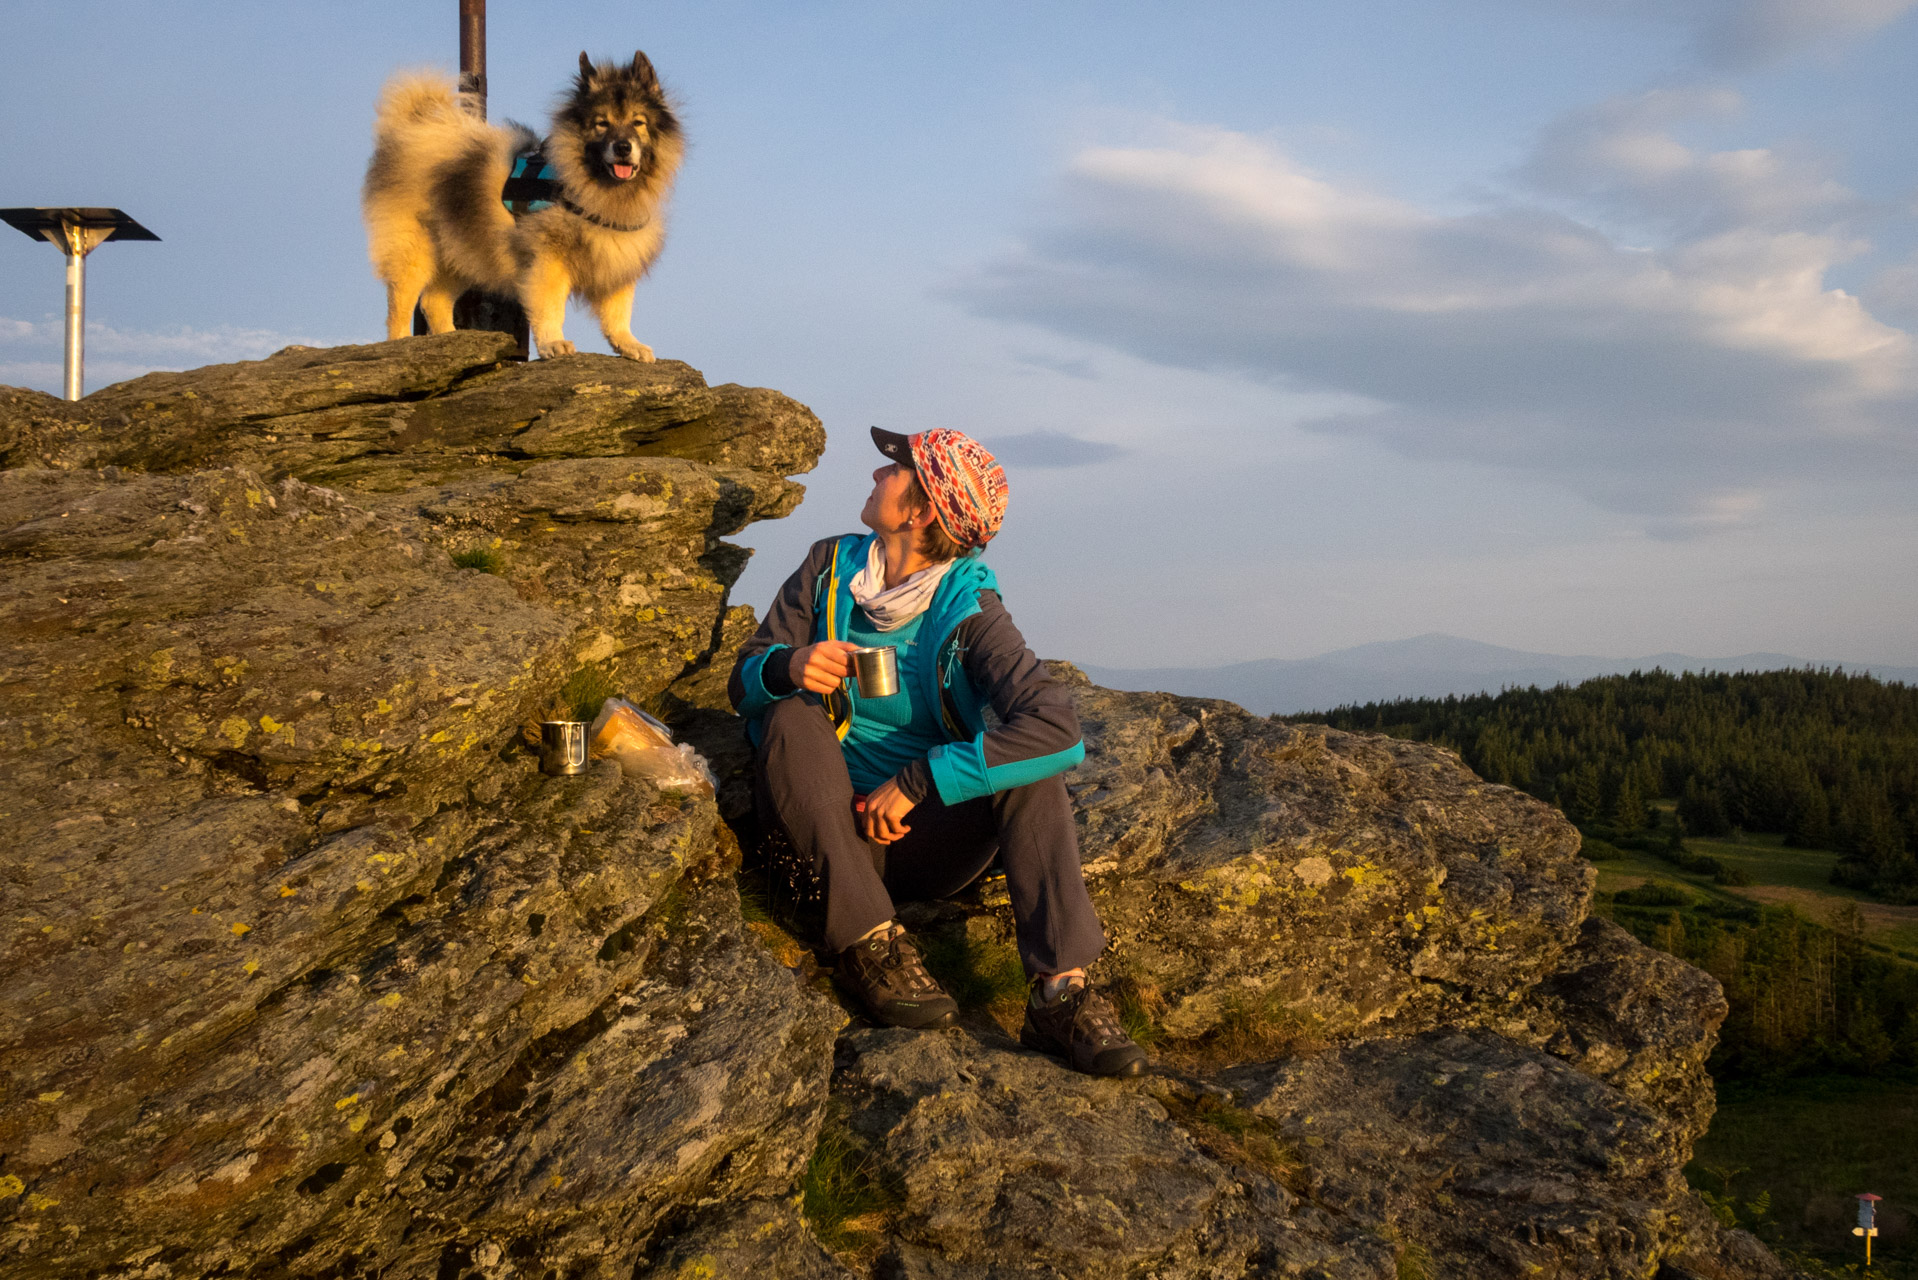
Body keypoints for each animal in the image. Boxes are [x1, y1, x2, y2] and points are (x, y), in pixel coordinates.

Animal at [362, 50, 686, 360]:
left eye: (638, 122)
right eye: (601, 124)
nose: (622, 147)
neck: (596, 190)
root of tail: (414, 130)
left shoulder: (617, 257)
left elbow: (618, 312)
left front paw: (628, 344)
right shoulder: (548, 259)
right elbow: (550, 306)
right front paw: (553, 343)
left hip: (463, 250)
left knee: (433, 301)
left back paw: (452, 341)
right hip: (415, 251)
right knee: (401, 304)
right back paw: (402, 343)